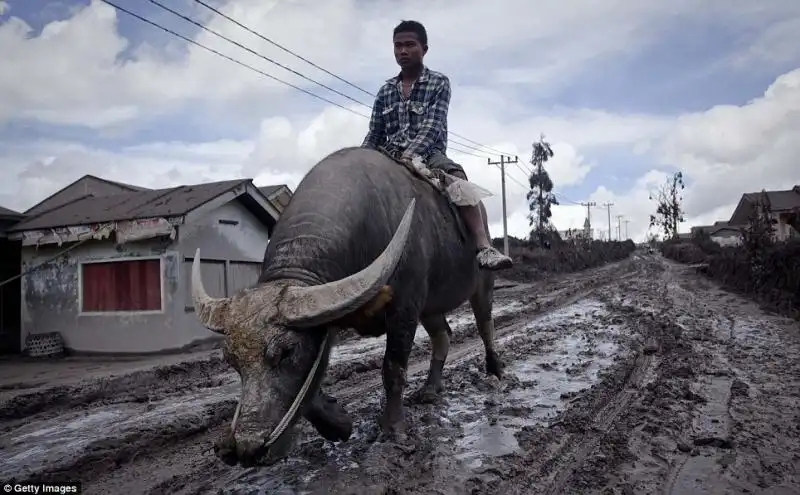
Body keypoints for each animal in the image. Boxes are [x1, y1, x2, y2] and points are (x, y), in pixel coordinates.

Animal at [190, 145, 504, 466]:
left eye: (286, 352)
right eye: (231, 361)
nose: (246, 447)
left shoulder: (404, 308)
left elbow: (393, 368)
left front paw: (393, 429)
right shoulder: (326, 311)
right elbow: (310, 385)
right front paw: (339, 425)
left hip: (482, 285)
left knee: (484, 325)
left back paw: (494, 370)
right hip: (431, 306)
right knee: (443, 335)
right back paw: (430, 389)